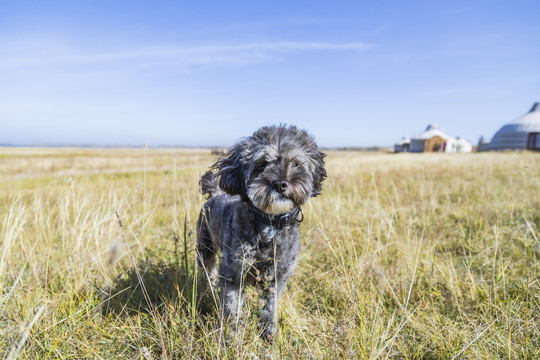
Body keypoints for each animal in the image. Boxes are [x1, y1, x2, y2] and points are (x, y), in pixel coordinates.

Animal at [197, 124, 326, 340]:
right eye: (261, 165)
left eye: (296, 163)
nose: (280, 184)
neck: (270, 225)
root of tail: (216, 192)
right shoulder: (234, 274)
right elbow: (232, 309)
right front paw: (231, 339)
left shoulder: (277, 278)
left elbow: (269, 307)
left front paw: (269, 335)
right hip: (205, 249)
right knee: (209, 272)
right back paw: (211, 288)